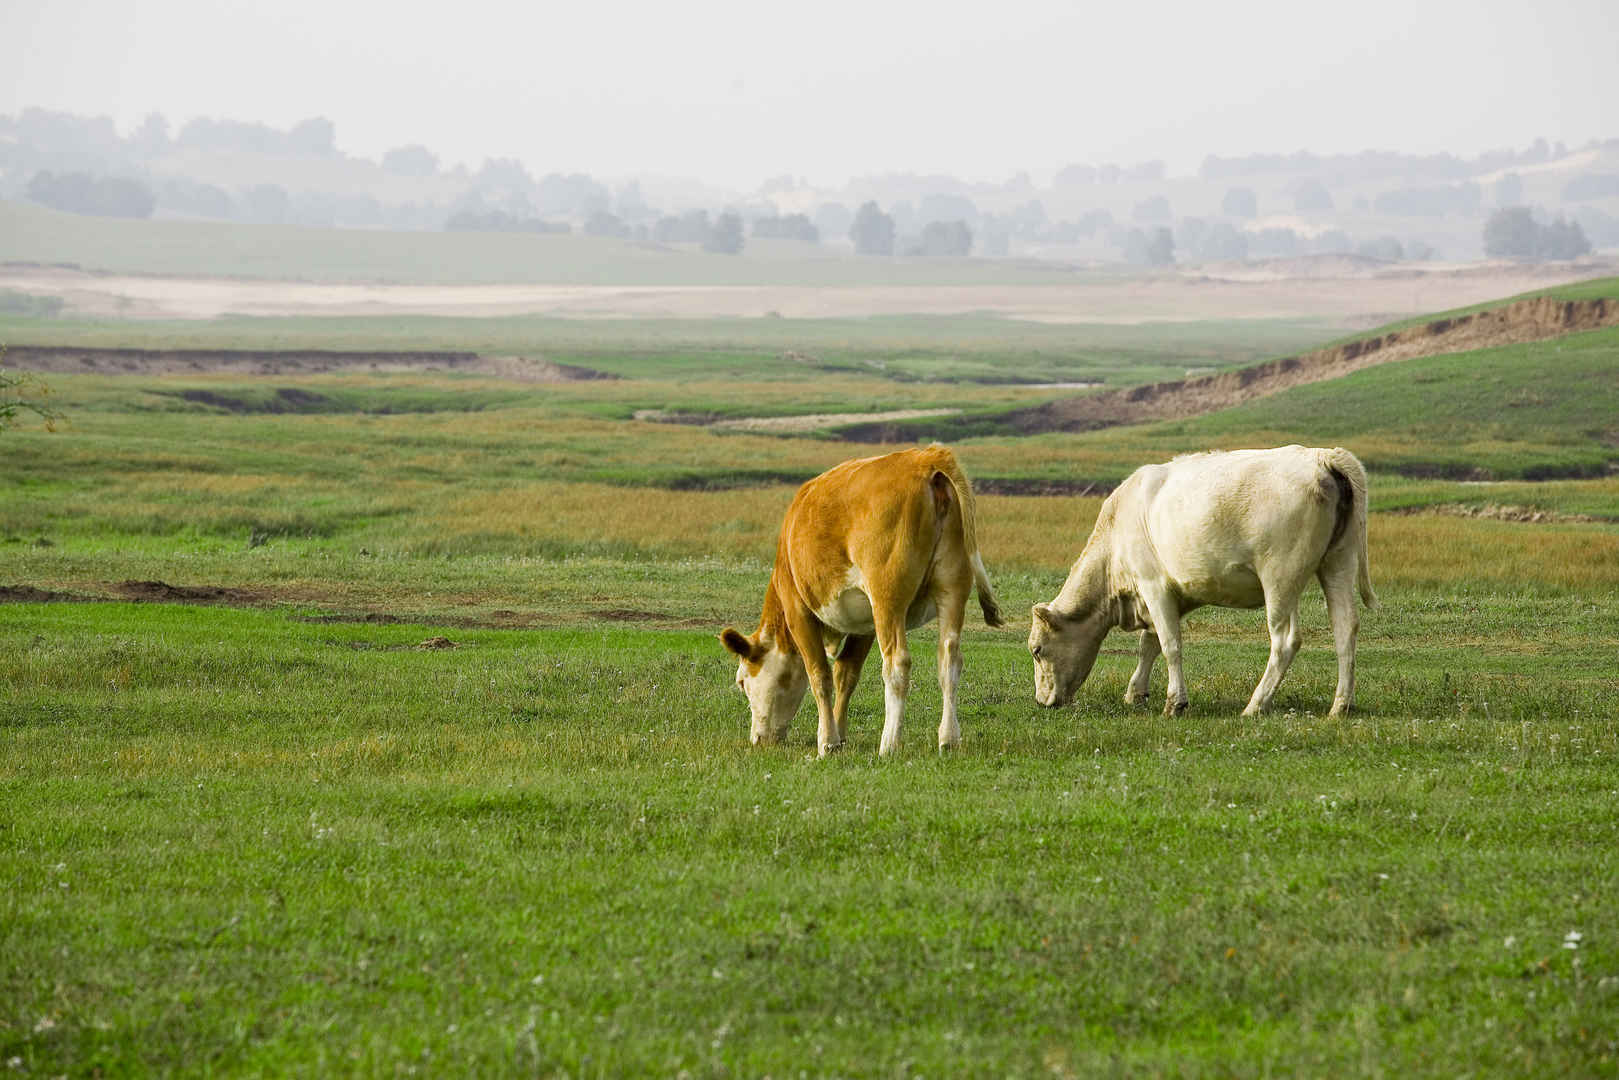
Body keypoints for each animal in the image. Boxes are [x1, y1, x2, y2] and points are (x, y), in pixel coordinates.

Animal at [718, 443, 997, 757]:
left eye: (742, 682)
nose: (757, 739)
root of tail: (927, 457)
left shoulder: (797, 609)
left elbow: (820, 674)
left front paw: (827, 741)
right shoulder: (865, 623)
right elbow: (846, 672)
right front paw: (840, 735)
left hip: (887, 597)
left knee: (897, 663)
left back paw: (889, 743)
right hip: (952, 586)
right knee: (949, 659)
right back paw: (948, 738)